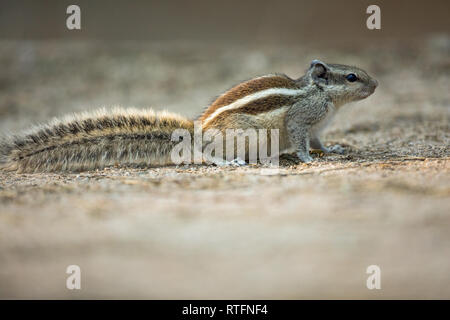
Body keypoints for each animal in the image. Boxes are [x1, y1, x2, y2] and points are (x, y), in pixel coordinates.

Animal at [0, 58, 376, 171]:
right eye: (352, 77)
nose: (376, 83)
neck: (323, 96)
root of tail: (197, 132)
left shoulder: (318, 127)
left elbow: (320, 141)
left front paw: (332, 150)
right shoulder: (301, 119)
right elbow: (300, 140)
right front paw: (307, 159)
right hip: (241, 137)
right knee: (209, 154)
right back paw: (228, 162)